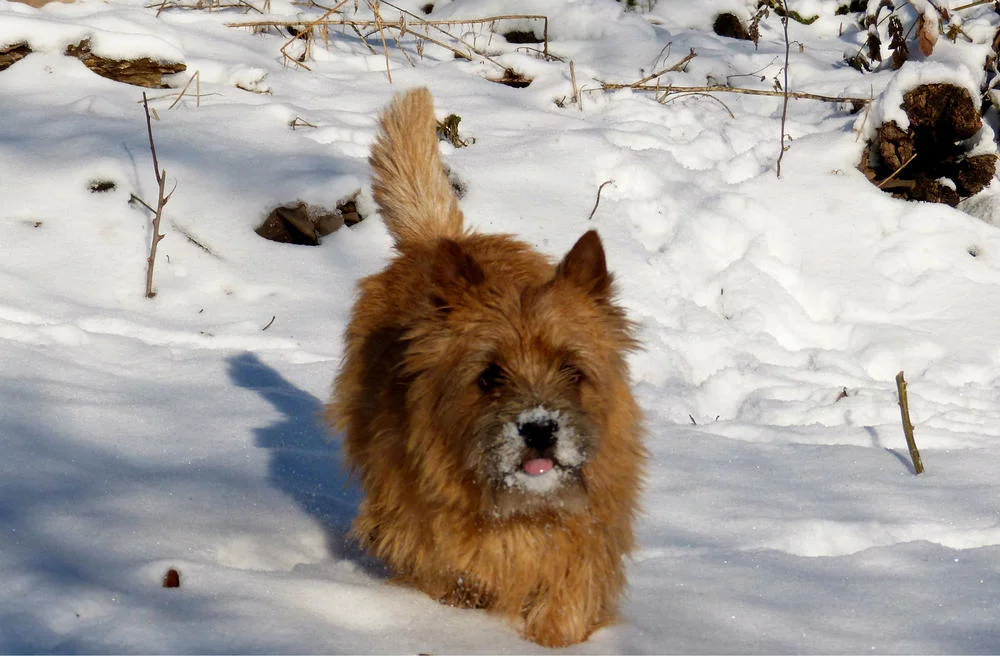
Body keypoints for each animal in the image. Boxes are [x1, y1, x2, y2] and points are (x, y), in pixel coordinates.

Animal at [326, 88, 645, 647]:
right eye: (489, 376)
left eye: (572, 370)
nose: (539, 429)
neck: (520, 514)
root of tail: (435, 241)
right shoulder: (431, 552)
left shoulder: (583, 554)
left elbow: (567, 612)